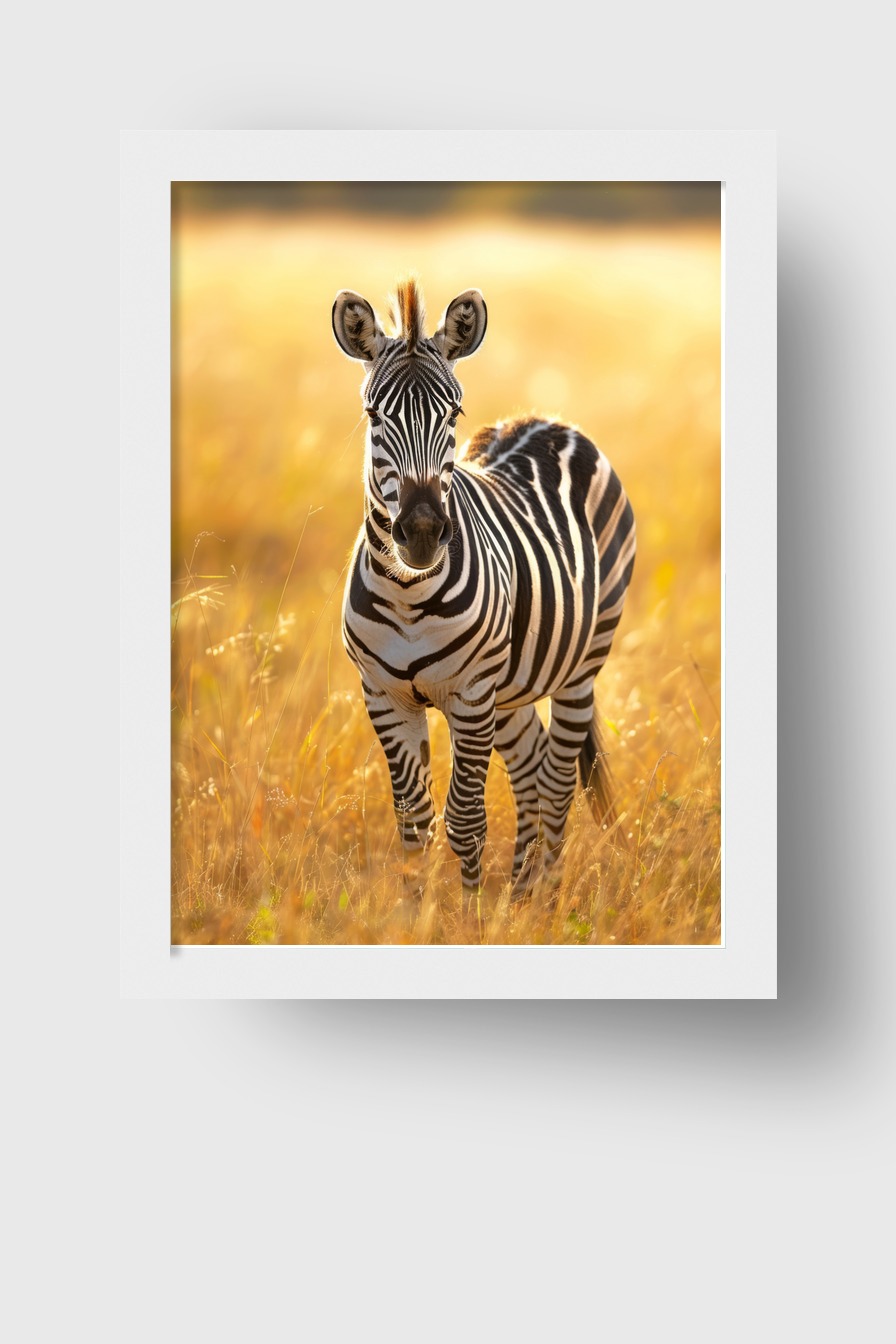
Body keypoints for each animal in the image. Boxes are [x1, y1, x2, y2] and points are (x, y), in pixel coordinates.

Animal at [332, 279, 636, 897]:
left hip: (582, 665)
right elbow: (413, 821)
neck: (408, 597)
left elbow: (466, 818)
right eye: (374, 415)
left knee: (557, 779)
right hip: (512, 684)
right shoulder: (383, 694)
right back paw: (518, 894)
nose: (424, 531)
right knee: (531, 765)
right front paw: (415, 909)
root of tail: (546, 419)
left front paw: (469, 911)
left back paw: (544, 897)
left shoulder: (471, 695)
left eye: (453, 413)